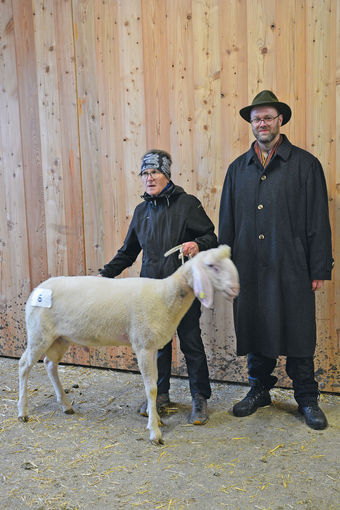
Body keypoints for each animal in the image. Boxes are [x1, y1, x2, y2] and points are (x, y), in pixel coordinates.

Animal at [17, 245, 238, 444]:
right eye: (211, 265)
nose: (235, 289)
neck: (165, 296)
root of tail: (37, 290)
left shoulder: (152, 346)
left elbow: (155, 383)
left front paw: (156, 419)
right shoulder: (143, 346)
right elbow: (151, 388)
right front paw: (155, 432)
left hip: (60, 337)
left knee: (50, 364)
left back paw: (65, 405)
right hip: (38, 333)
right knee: (24, 365)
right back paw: (22, 411)